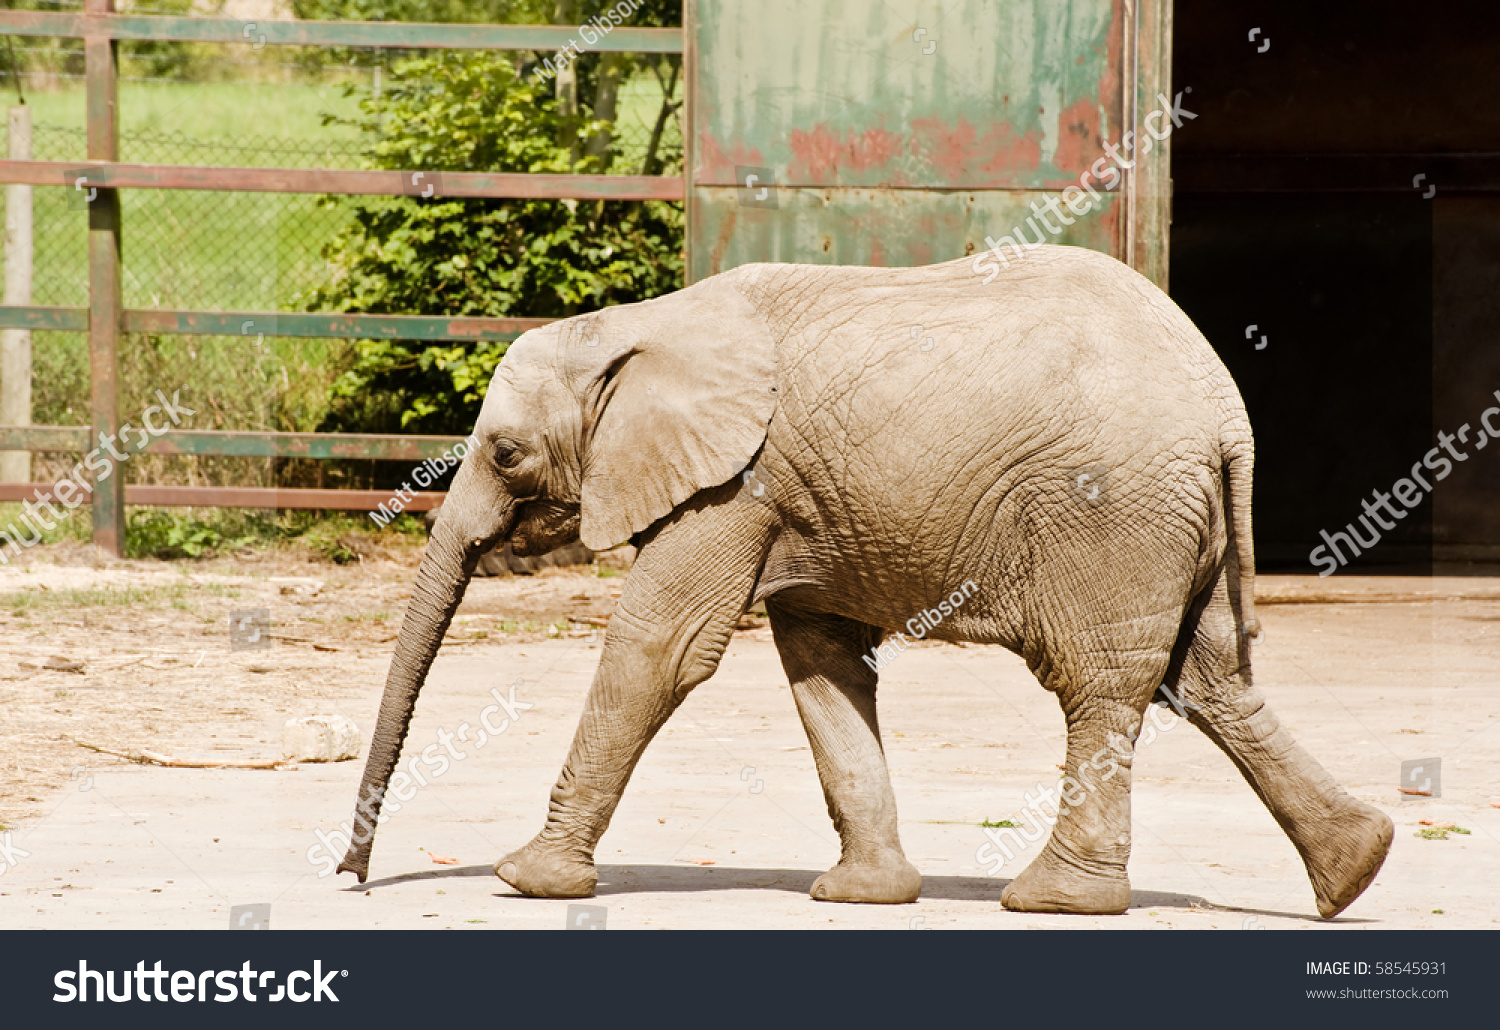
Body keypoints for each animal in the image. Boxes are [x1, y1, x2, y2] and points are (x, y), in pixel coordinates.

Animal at [334, 244, 1386, 917]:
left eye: (506, 454)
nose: (351, 876)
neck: (643, 326)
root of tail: (1226, 414)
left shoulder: (736, 481)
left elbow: (661, 648)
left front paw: (524, 880)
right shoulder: (795, 498)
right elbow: (822, 665)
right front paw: (864, 895)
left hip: (1114, 512)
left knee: (1103, 686)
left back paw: (1054, 901)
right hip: (1171, 522)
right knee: (1209, 684)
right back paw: (1356, 870)